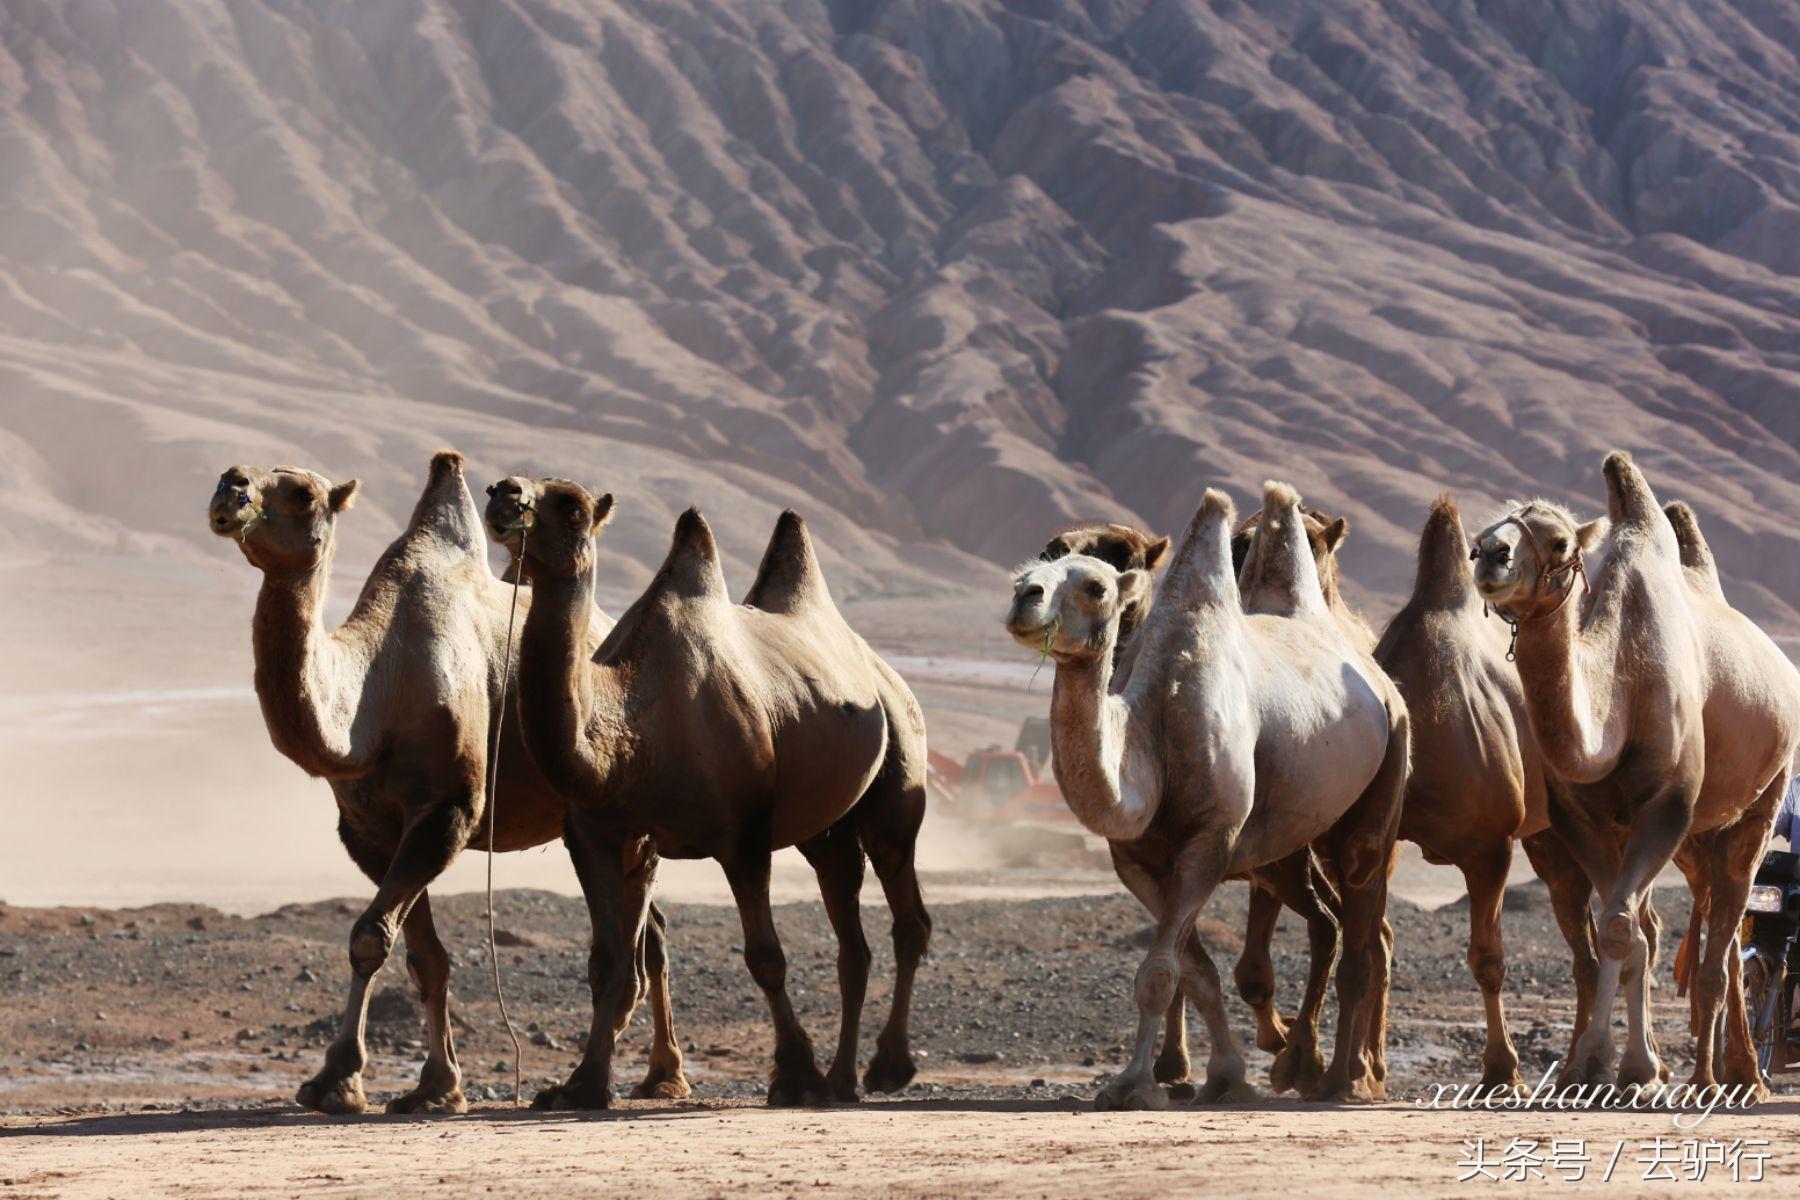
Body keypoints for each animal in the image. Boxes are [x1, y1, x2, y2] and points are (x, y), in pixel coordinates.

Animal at [206, 453, 687, 1115]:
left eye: (303, 495)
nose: (230, 487)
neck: (375, 698)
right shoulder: (369, 832)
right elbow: (421, 957)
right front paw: (435, 1087)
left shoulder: (450, 811)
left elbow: (369, 937)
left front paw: (337, 1081)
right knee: (655, 931)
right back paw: (652, 1073)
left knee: (641, 932)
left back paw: (647, 1074)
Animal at [482, 474, 928, 1108]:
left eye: (570, 507)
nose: (503, 493)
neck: (632, 732)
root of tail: (884, 672)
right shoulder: (598, 836)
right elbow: (608, 962)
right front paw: (581, 1084)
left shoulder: (743, 837)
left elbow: (766, 958)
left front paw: (794, 1074)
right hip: (827, 831)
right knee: (852, 940)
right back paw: (841, 1080)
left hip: (897, 779)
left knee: (907, 913)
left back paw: (887, 1067)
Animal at [1015, 482, 1404, 1108]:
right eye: (1041, 561)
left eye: (1099, 584)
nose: (1024, 596)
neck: (1154, 732)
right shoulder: (1139, 860)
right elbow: (1191, 971)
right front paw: (1219, 1074)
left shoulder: (1210, 842)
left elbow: (1159, 973)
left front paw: (1134, 1086)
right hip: (1288, 845)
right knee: (1334, 925)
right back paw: (1308, 1064)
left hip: (1382, 778)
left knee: (1362, 933)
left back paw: (1344, 1077)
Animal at [1468, 455, 1792, 1093]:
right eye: (1484, 532)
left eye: (1560, 541)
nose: (1490, 553)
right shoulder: (1582, 818)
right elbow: (1623, 930)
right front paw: (1605, 1066)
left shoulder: (1666, 807)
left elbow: (1620, 927)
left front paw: (1624, 1065)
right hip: (1694, 837)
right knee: (1701, 930)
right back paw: (1719, 1069)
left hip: (1764, 800)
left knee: (1724, 935)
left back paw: (1720, 1078)